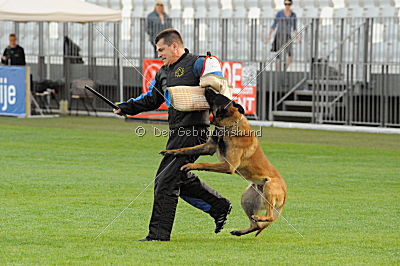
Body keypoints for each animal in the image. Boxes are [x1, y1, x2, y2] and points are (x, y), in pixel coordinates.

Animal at [161, 89, 286, 237]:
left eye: (217, 96)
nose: (206, 88)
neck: (229, 124)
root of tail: (285, 194)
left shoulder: (228, 166)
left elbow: (205, 164)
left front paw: (190, 165)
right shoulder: (208, 147)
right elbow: (186, 149)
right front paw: (171, 152)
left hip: (269, 187)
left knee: (270, 216)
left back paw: (260, 218)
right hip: (247, 199)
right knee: (255, 225)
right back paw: (240, 231)